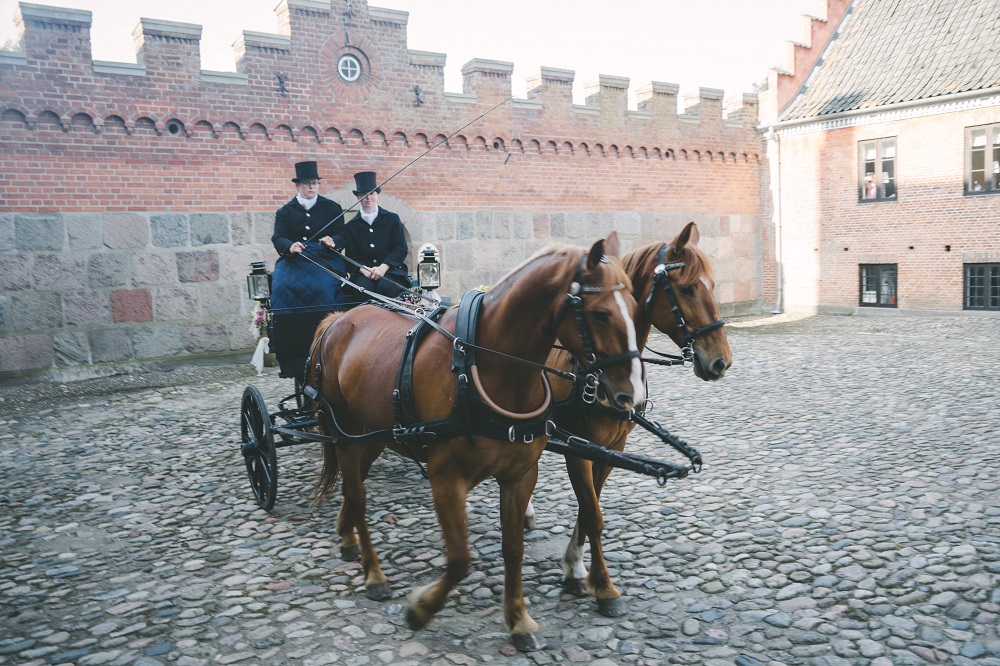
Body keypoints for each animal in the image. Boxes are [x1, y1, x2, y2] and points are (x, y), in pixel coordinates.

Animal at [308, 233, 644, 648]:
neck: (485, 367)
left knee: (352, 491)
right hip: (345, 435)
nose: (632, 396)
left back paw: (347, 540)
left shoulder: (519, 476)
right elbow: (459, 559)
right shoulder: (446, 479)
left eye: (636, 308)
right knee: (357, 497)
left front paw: (518, 618)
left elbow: (513, 548)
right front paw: (421, 609)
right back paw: (374, 574)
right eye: (600, 314)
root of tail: (338, 319)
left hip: (372, 437)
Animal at [532, 222, 736, 612]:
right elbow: (593, 514)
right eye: (686, 288)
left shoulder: (613, 449)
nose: (722, 361)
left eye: (714, 285)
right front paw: (601, 586)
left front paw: (575, 566)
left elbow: (590, 509)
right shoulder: (578, 449)